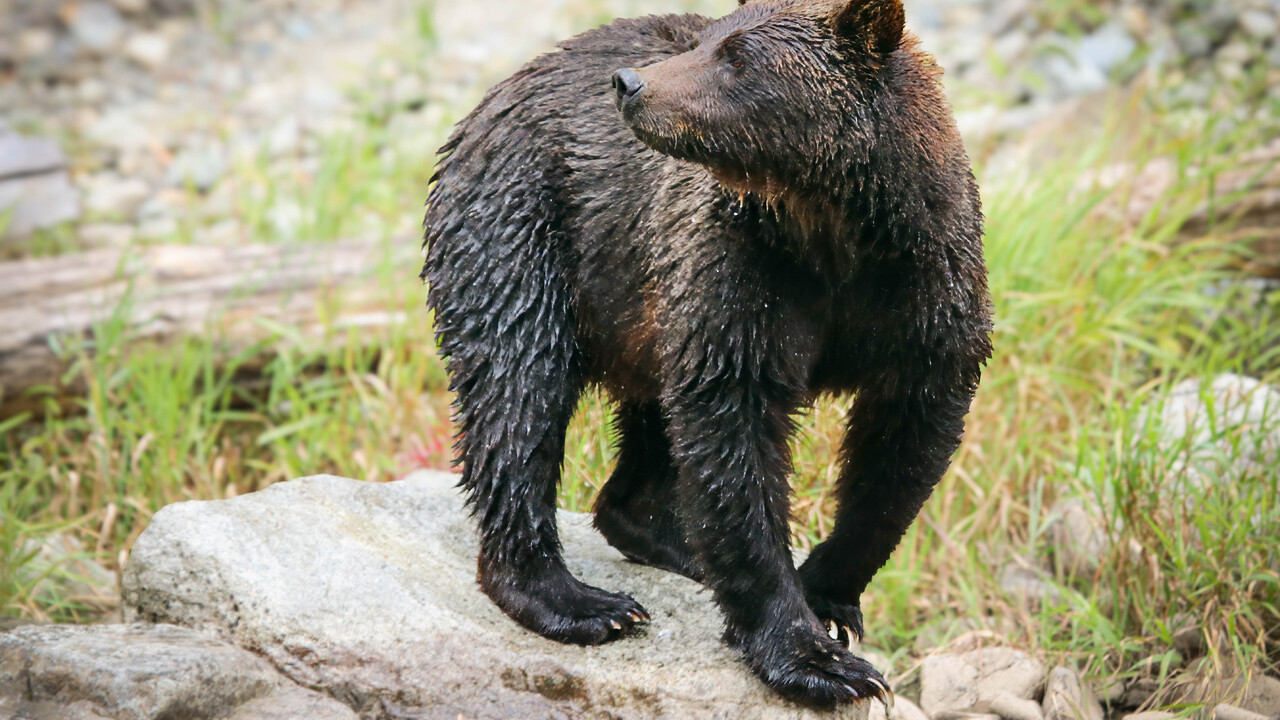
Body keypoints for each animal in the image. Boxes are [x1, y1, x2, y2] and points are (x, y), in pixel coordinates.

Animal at [421, 0, 992, 708]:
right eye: (706, 41)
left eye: (736, 58)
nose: (629, 83)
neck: (833, 226)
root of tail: (489, 101)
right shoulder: (744, 269)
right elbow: (733, 428)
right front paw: (814, 659)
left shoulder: (925, 294)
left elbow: (905, 446)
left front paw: (827, 595)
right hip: (523, 230)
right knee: (519, 390)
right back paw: (578, 600)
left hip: (636, 295)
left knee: (647, 417)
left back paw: (666, 539)